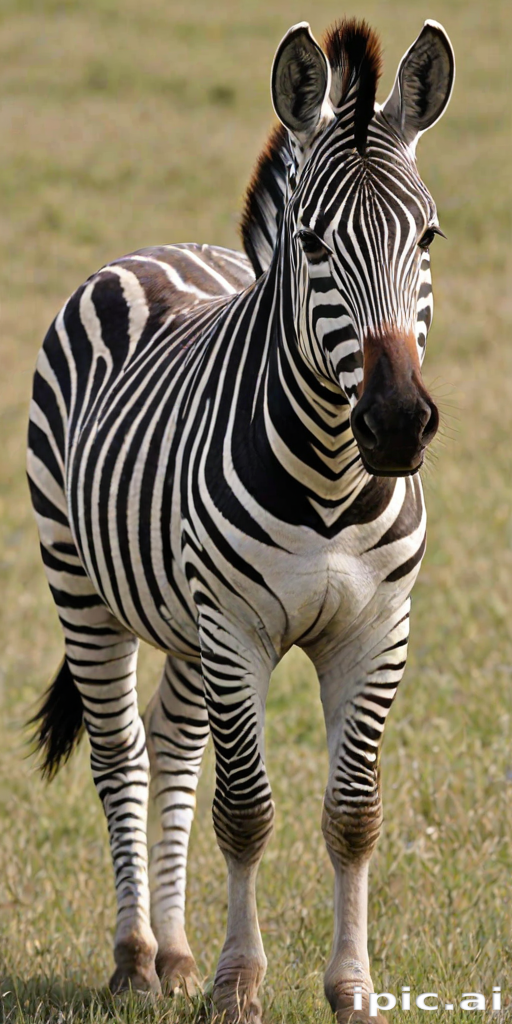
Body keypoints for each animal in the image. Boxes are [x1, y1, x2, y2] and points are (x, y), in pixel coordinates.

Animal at [27, 17, 454, 1024]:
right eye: (313, 242)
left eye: (427, 235)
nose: (397, 423)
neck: (333, 478)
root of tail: (154, 250)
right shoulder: (238, 629)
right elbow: (248, 812)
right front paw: (238, 985)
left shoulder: (377, 631)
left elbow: (353, 816)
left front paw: (350, 988)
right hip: (84, 587)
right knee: (123, 755)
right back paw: (137, 956)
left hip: (183, 620)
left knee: (176, 748)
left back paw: (177, 952)